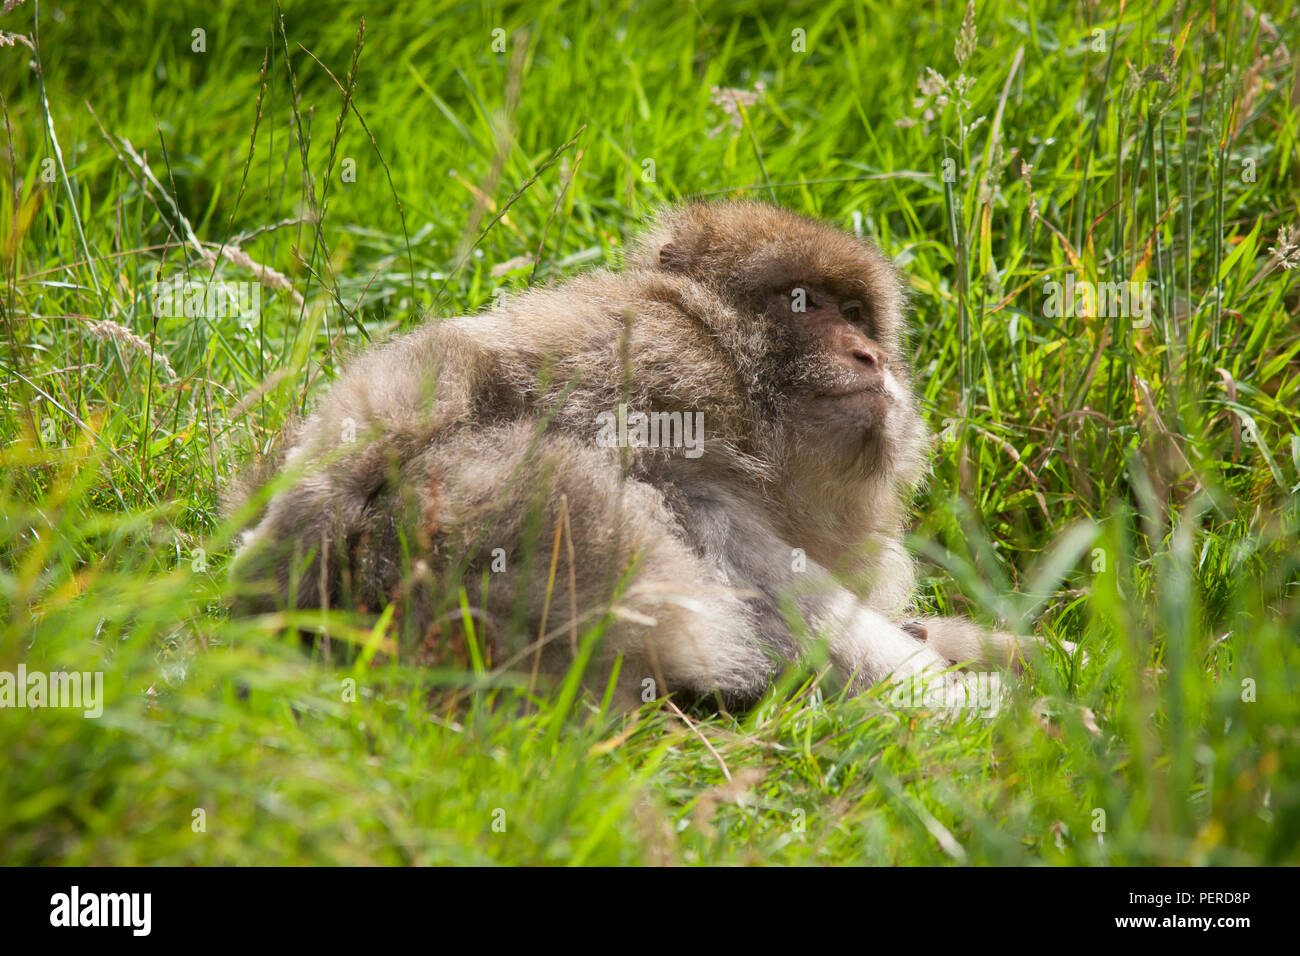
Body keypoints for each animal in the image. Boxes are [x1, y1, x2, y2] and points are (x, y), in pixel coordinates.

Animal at [227, 201, 1064, 712]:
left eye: (857, 313)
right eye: (805, 303)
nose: (870, 356)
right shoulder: (669, 344)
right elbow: (449, 369)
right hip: (501, 543)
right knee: (690, 503)